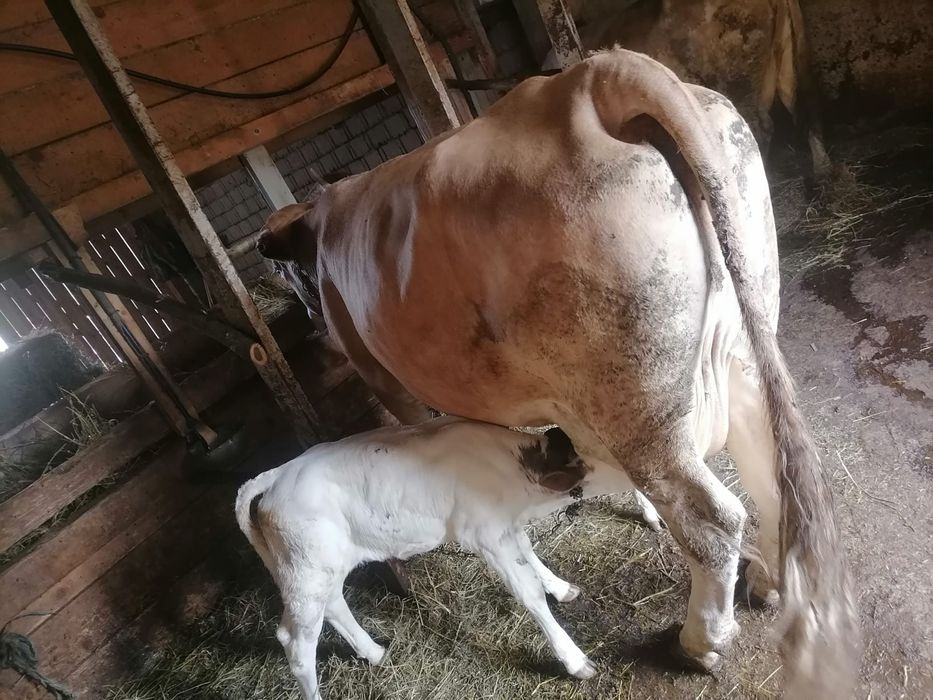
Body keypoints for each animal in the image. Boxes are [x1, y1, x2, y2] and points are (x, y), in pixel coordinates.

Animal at [235, 418, 661, 699]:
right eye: (605, 453)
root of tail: (276, 476)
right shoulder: (486, 534)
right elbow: (529, 594)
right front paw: (574, 660)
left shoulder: (507, 527)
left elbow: (530, 555)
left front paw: (560, 587)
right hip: (304, 571)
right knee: (296, 642)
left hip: (322, 567)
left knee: (334, 607)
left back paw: (374, 652)